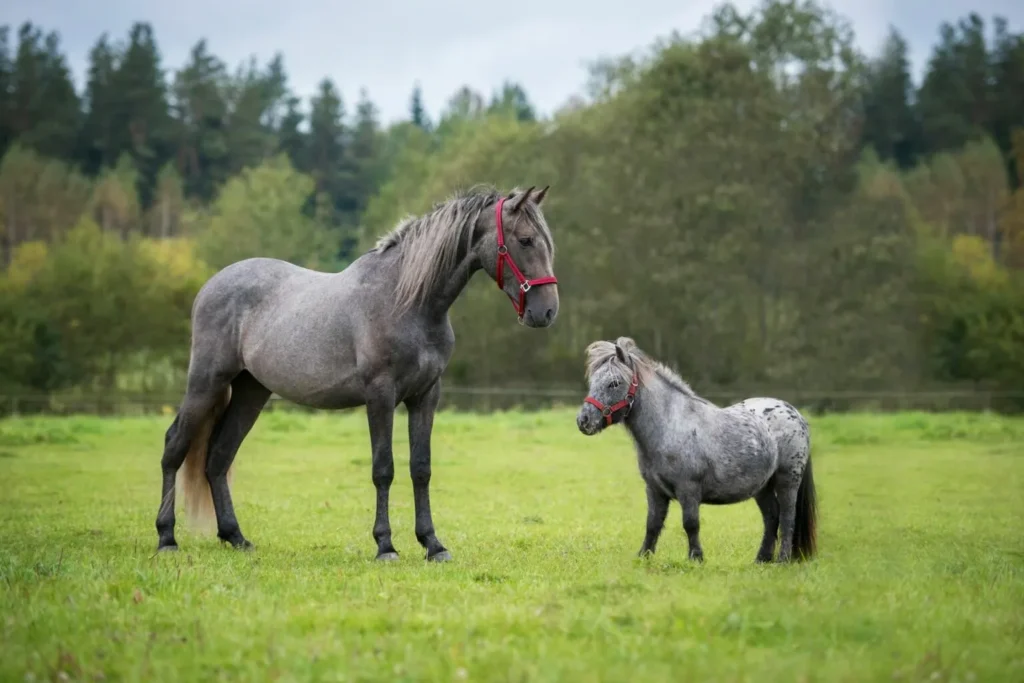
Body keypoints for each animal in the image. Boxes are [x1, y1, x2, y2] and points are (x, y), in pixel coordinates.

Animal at [155, 185, 559, 562]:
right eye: (525, 240)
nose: (547, 312)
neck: (407, 300)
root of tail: (211, 285)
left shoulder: (426, 395)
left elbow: (421, 468)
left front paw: (432, 544)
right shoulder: (380, 395)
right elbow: (383, 468)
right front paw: (385, 546)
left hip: (251, 391)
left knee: (219, 455)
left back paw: (235, 537)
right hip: (207, 382)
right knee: (175, 446)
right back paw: (166, 538)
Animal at [575, 337, 817, 564]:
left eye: (614, 383)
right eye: (593, 381)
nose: (583, 421)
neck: (670, 426)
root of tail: (796, 414)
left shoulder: (688, 489)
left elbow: (690, 524)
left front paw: (696, 558)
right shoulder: (654, 490)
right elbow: (652, 524)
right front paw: (644, 556)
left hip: (787, 481)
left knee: (787, 518)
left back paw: (782, 560)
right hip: (762, 487)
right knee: (771, 517)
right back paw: (761, 560)